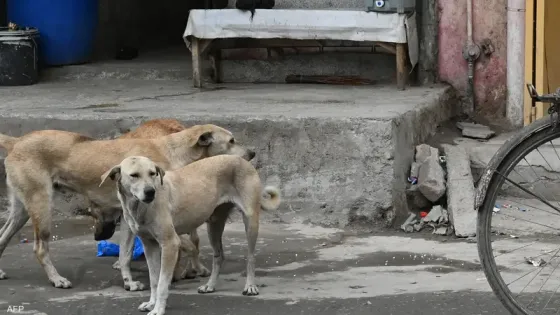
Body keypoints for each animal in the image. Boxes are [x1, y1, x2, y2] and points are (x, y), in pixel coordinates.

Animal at [0, 119, 253, 290]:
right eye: (231, 141)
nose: (252, 152)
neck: (174, 151)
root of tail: (17, 141)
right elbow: (184, 246)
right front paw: (177, 274)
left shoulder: (132, 220)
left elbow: (125, 254)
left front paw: (129, 282)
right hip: (41, 206)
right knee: (40, 247)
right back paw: (56, 279)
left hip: (21, 210)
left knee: (2, 237)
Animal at [100, 156, 280, 315]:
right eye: (134, 175)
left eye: (152, 173)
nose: (150, 192)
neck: (139, 207)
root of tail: (242, 160)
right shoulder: (149, 245)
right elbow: (154, 281)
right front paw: (151, 303)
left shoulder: (170, 244)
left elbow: (163, 283)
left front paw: (158, 309)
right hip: (213, 225)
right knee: (219, 256)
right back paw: (210, 285)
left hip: (250, 222)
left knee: (250, 257)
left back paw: (250, 286)